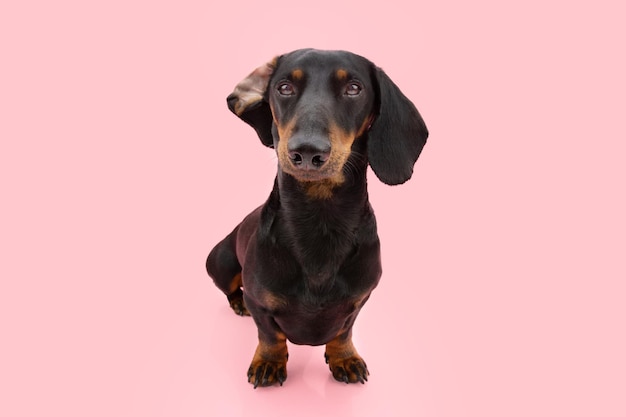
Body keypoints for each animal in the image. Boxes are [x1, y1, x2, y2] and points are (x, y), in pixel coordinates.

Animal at [207, 48, 426, 386]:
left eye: (354, 88)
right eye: (284, 87)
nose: (308, 152)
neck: (320, 221)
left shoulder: (359, 301)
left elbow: (343, 331)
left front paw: (344, 358)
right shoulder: (260, 303)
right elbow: (269, 335)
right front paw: (268, 362)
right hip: (219, 262)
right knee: (231, 289)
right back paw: (237, 303)